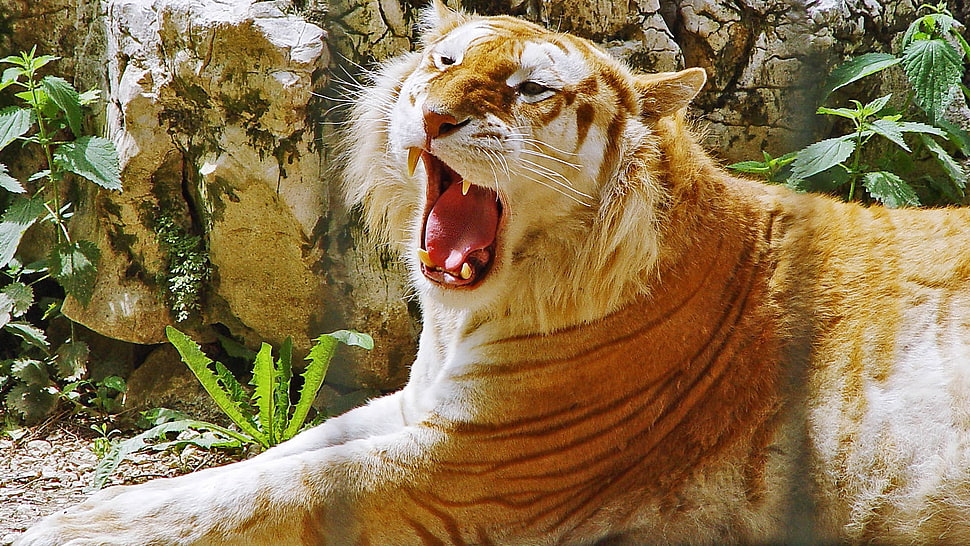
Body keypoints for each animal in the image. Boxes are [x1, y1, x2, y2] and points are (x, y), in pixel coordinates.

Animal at [18, 1, 970, 544]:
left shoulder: (473, 464)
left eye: (529, 90)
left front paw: (69, 530)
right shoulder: (421, 409)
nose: (435, 114)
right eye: (444, 64)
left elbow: (274, 492)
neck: (464, 316)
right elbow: (267, 463)